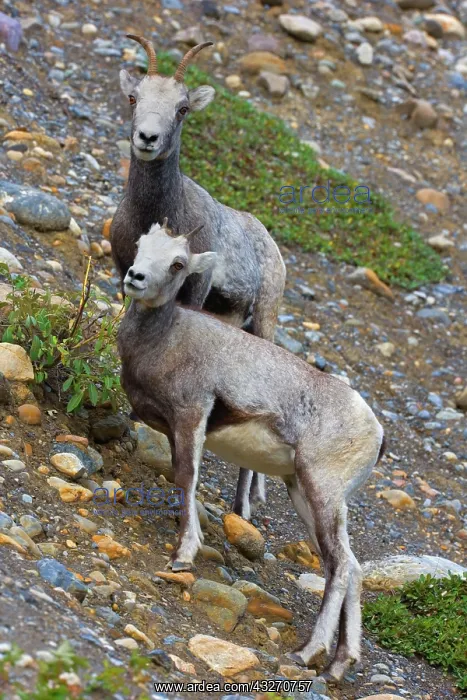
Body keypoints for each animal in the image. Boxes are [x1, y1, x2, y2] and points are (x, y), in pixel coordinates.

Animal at [111, 35, 286, 518]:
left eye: (183, 108)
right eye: (134, 98)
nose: (147, 138)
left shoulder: (193, 293)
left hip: (264, 322)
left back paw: (243, 505)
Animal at [117, 222, 385, 681]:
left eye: (178, 263)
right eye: (141, 246)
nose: (136, 277)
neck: (165, 340)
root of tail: (376, 430)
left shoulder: (192, 415)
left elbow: (187, 477)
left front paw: (182, 557)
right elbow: (183, 481)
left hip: (321, 492)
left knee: (341, 566)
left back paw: (306, 653)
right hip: (305, 495)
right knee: (348, 566)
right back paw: (337, 666)